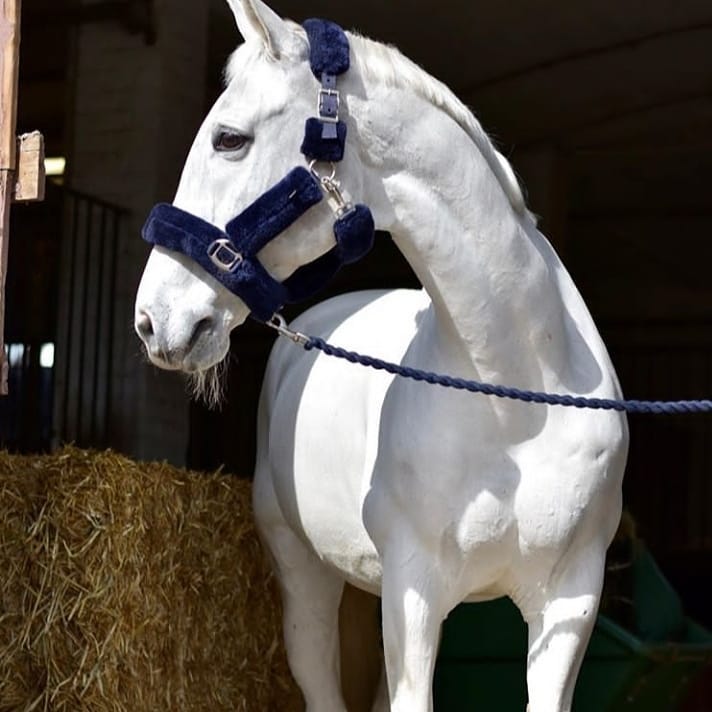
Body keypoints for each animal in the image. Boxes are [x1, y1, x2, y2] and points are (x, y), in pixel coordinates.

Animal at [134, 2, 628, 708]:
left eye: (229, 139)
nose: (156, 320)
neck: (518, 402)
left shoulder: (569, 604)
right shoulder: (413, 595)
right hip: (306, 579)